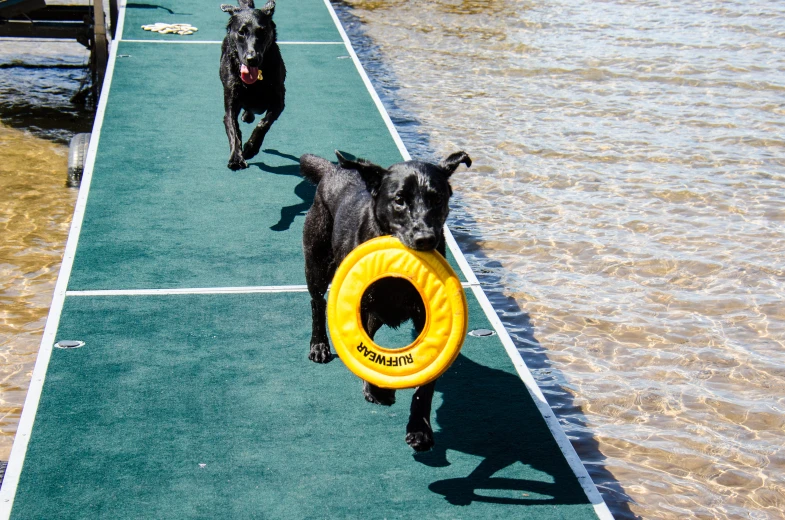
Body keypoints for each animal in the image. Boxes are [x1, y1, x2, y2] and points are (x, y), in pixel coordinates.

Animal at [217, 0, 284, 170]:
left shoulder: (279, 101)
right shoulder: (230, 104)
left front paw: (251, 148)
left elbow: (264, 124)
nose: (252, 59)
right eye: (241, 32)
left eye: (262, 32)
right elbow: (233, 130)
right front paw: (236, 158)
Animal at [302, 149, 472, 450]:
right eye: (399, 200)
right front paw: (378, 391)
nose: (425, 238)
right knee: (317, 303)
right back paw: (319, 345)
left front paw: (420, 428)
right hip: (317, 263)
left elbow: (426, 386)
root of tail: (333, 170)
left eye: (436, 199)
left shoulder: (424, 318)